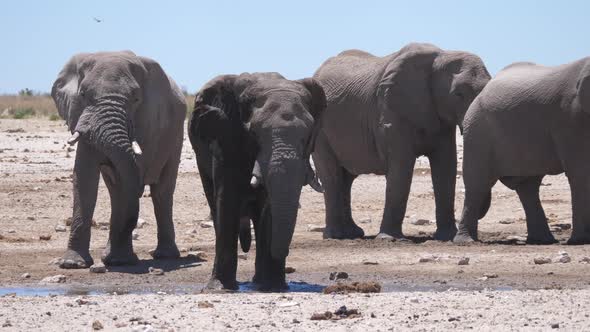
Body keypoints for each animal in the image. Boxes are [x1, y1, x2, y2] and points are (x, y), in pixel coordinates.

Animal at [53, 51, 188, 268]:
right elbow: (84, 179)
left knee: (162, 192)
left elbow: (128, 178)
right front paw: (73, 264)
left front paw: (120, 261)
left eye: (136, 99)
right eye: (83, 95)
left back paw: (165, 256)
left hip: (176, 136)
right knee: (116, 190)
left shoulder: (147, 123)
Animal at [312, 44, 492, 240]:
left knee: (347, 179)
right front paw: (390, 239)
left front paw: (447, 237)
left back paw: (353, 233)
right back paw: (336, 236)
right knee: (332, 176)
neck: (442, 56)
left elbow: (446, 167)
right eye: (458, 94)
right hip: (320, 131)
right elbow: (401, 167)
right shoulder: (391, 109)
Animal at [460, 56, 590, 244]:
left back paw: (542, 240)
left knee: (527, 186)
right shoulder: (570, 118)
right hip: (477, 131)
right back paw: (466, 241)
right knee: (478, 184)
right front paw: (581, 241)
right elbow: (581, 172)